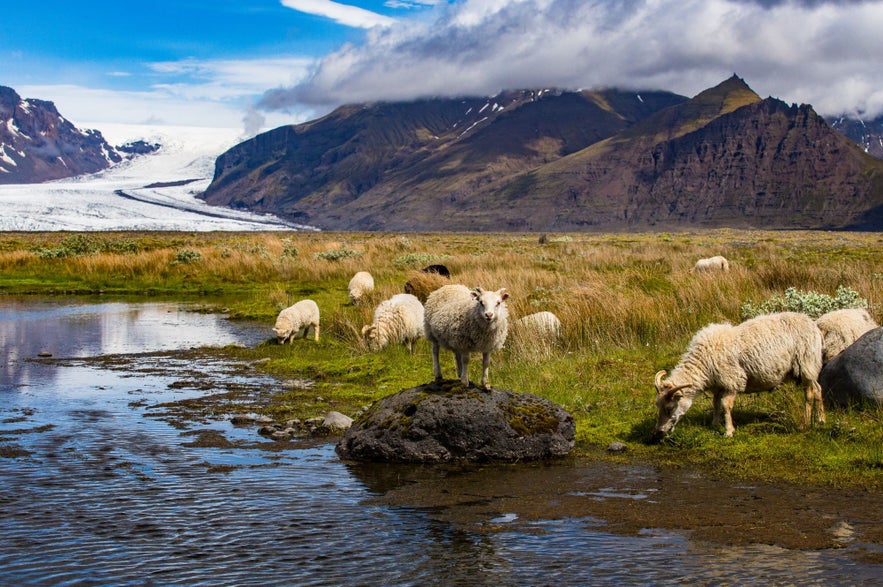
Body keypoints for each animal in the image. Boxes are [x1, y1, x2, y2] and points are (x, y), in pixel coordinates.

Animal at [652, 314, 824, 438]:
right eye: (658, 406)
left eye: (669, 408)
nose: (659, 432)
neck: (703, 362)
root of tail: (811, 323)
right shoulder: (718, 384)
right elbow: (715, 404)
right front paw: (715, 424)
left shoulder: (731, 380)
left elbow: (725, 405)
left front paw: (728, 431)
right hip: (807, 367)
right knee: (818, 388)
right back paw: (821, 420)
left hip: (806, 363)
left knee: (809, 393)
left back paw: (805, 423)